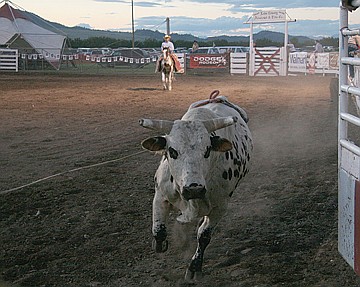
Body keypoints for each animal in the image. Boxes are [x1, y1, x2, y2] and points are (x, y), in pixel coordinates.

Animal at [139, 92, 253, 282]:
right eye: (172, 151)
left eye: (207, 150)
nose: (194, 189)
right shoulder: (160, 194)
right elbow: (159, 230)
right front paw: (159, 243)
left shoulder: (220, 208)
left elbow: (204, 235)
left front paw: (194, 267)